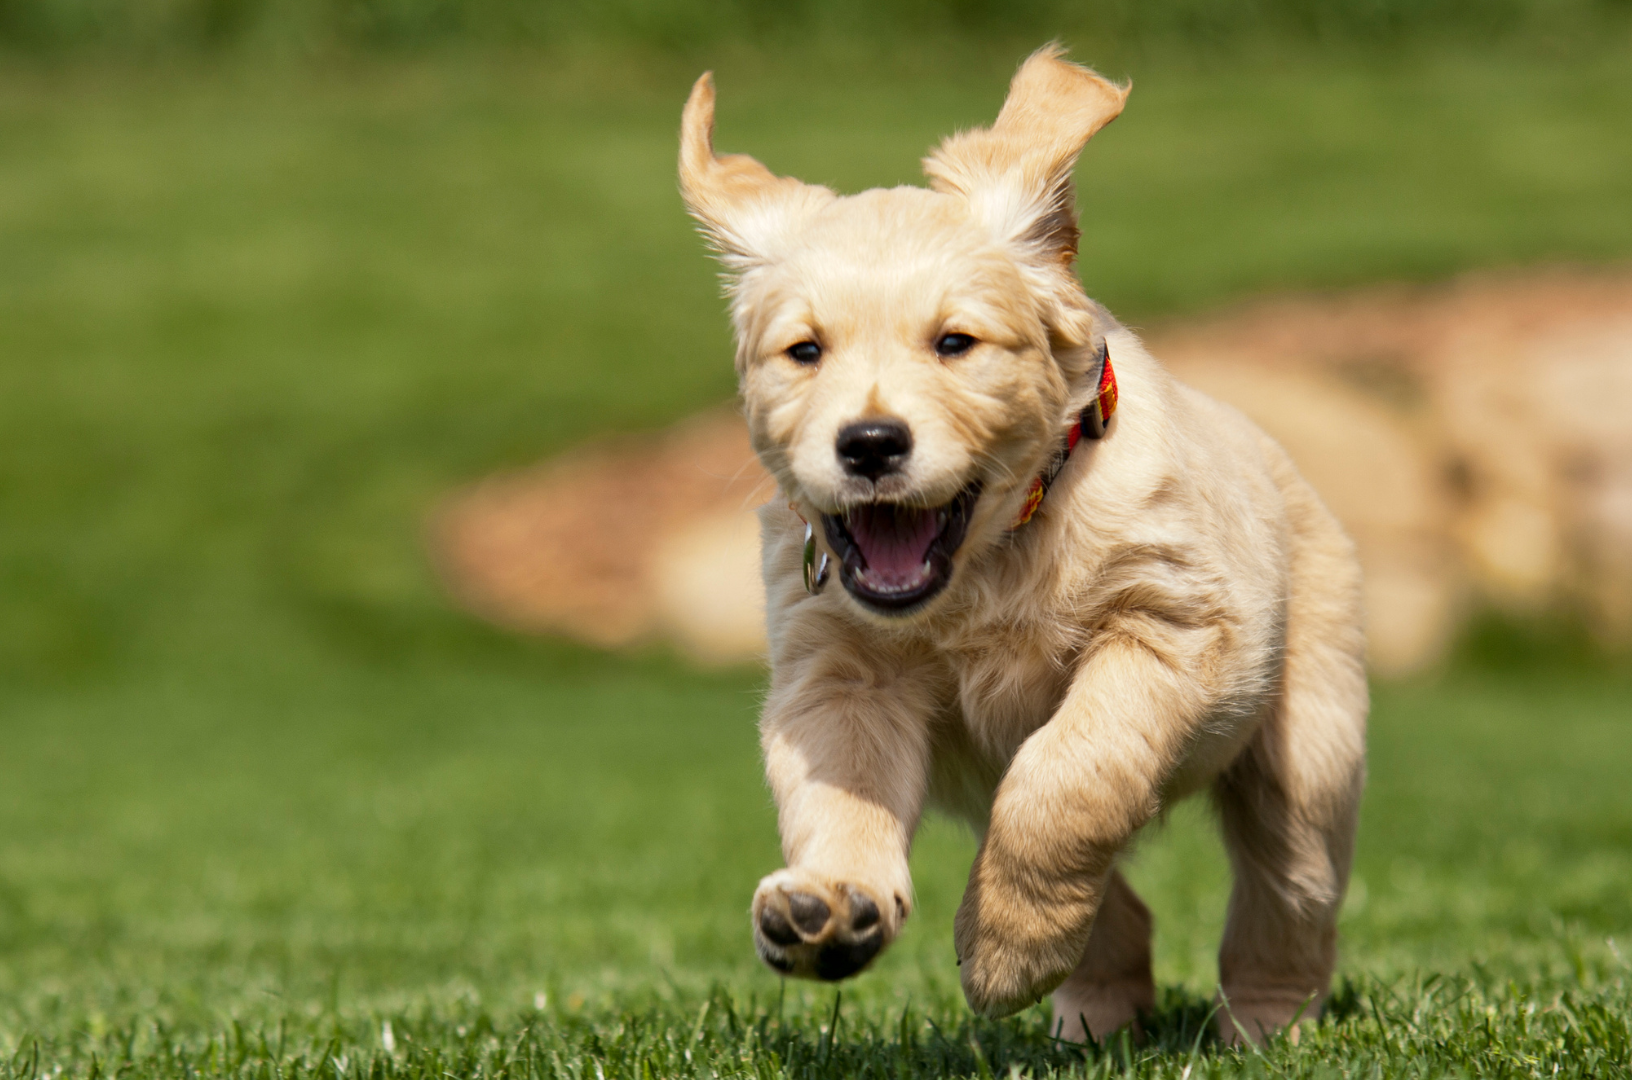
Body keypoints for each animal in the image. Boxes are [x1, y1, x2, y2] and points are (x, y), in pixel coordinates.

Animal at [672, 44, 1364, 1050]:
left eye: (956, 343)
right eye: (804, 351)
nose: (869, 444)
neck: (992, 560)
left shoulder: (1171, 628)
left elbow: (1068, 777)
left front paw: (1004, 952)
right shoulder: (839, 676)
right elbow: (844, 795)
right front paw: (832, 905)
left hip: (1308, 744)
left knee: (1289, 891)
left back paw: (1264, 1026)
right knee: (1119, 906)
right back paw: (1093, 1012)